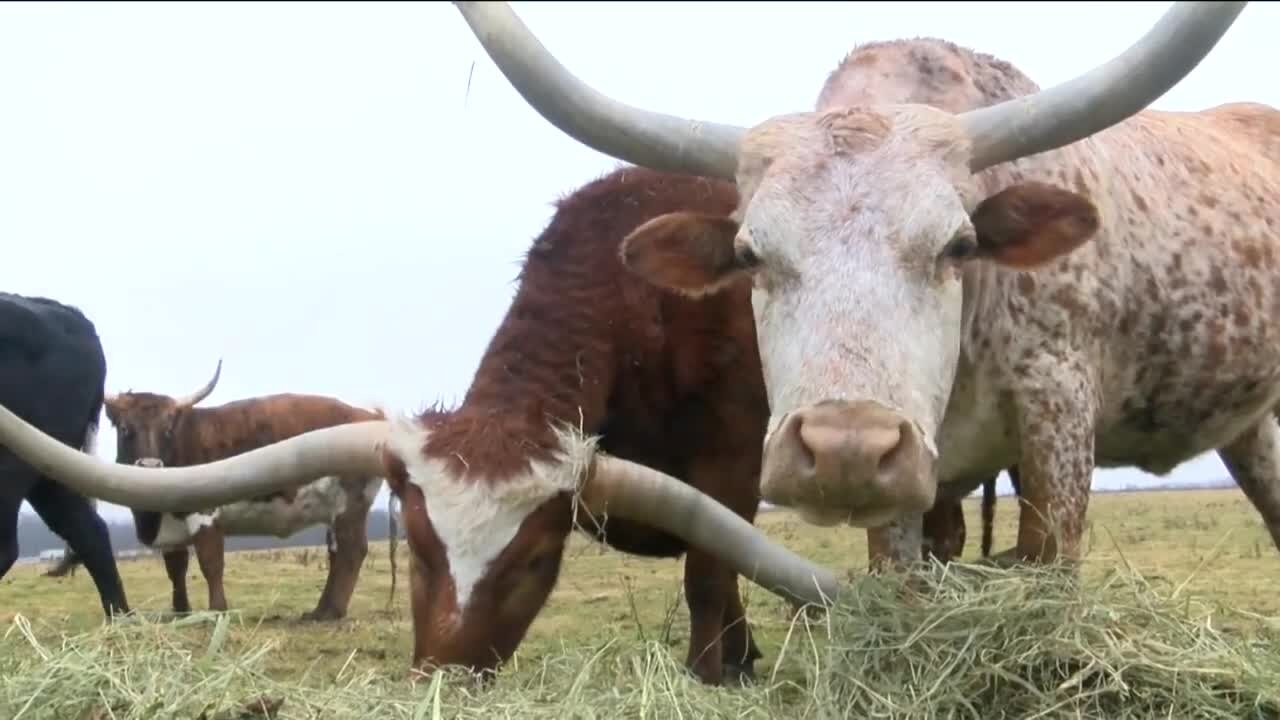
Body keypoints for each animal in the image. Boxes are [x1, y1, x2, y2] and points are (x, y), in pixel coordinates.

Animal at [100, 361, 384, 620]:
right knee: (337, 553)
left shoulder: (205, 513)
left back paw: (330, 612)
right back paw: (320, 610)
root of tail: (369, 416)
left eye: (168, 430)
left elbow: (211, 563)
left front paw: (217, 610)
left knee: (352, 550)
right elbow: (176, 570)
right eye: (125, 429)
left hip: (350, 505)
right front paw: (181, 612)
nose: (151, 467)